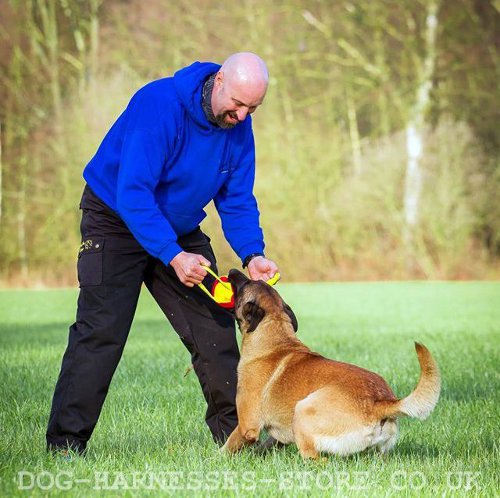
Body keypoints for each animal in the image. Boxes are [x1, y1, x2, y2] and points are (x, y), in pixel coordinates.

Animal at [221, 270, 440, 462]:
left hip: (303, 411)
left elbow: (228, 446)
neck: (275, 335)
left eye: (246, 284)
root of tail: (379, 402)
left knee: (317, 460)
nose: (232, 270)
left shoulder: (247, 426)